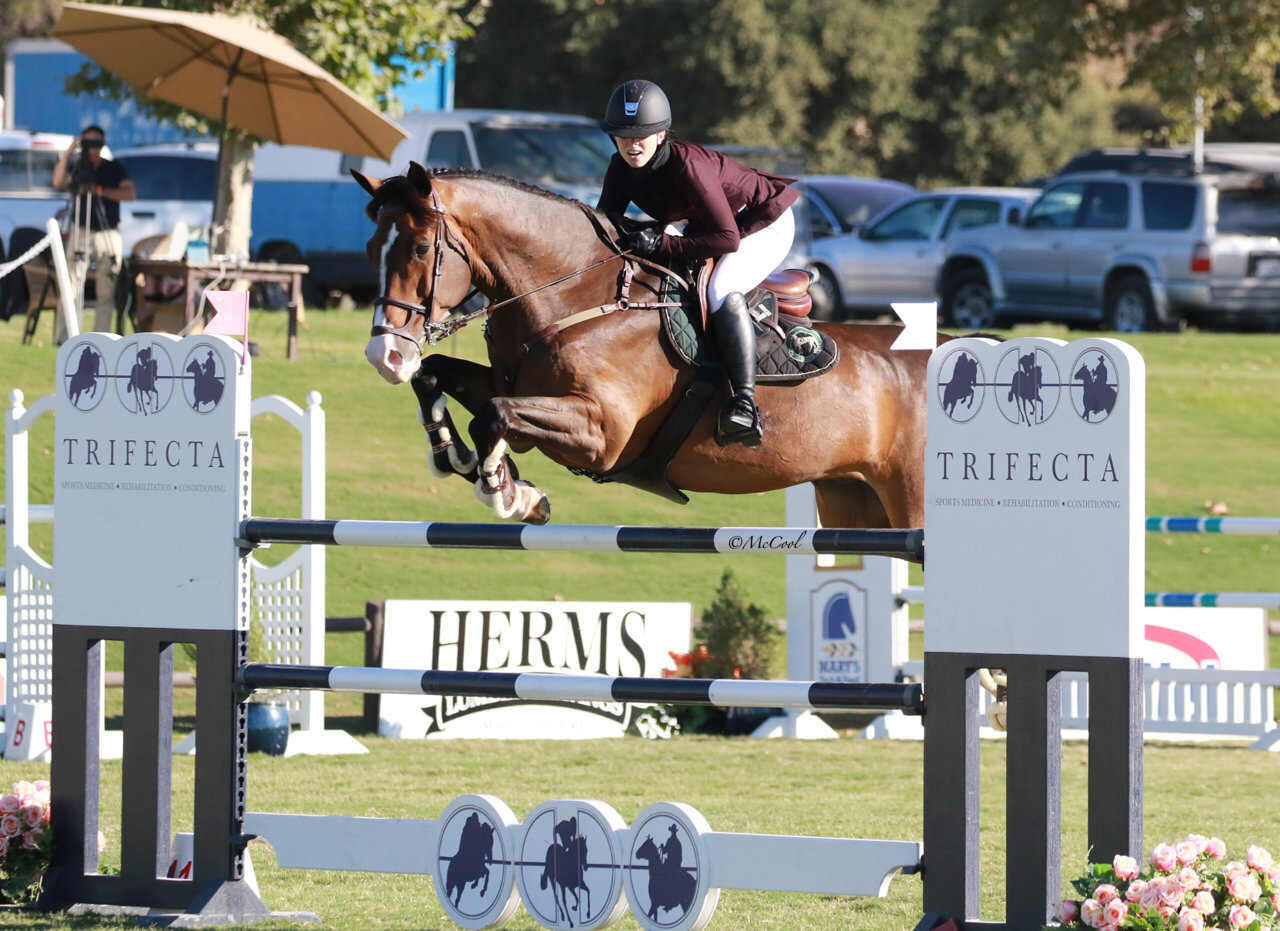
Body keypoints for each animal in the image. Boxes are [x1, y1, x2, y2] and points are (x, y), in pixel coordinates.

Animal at [355, 160, 957, 537]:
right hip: (853, 503)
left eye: (419, 248)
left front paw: (507, 491)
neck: (573, 295)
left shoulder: (601, 432)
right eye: (370, 247)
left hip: (913, 506)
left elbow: (494, 417)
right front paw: (458, 458)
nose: (385, 357)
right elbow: (438, 376)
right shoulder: (515, 387)